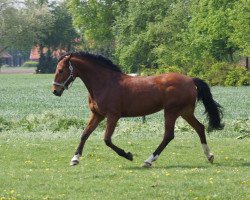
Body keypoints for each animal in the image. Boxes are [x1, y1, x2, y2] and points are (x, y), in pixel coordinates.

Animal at [51, 52, 224, 167]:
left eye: (61, 70)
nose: (55, 91)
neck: (104, 83)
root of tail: (190, 80)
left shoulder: (113, 115)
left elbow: (107, 139)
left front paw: (128, 155)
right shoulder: (97, 115)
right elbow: (84, 134)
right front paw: (75, 159)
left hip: (171, 112)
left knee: (168, 135)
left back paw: (148, 161)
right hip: (185, 112)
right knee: (200, 128)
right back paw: (209, 156)